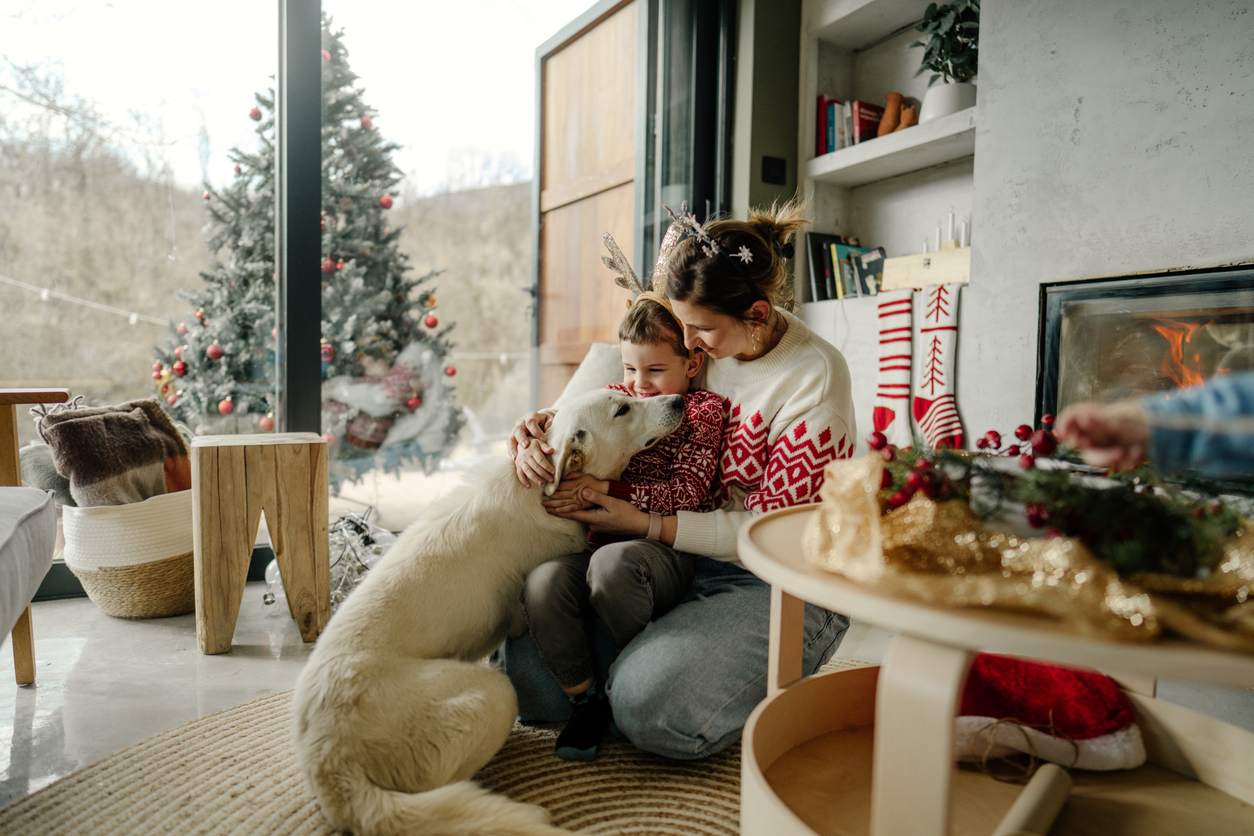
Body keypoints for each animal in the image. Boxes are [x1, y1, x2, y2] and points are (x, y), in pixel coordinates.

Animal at [290, 388, 687, 836]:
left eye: (629, 394)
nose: (679, 400)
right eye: (622, 409)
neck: (538, 489)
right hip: (494, 694)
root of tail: (329, 766)